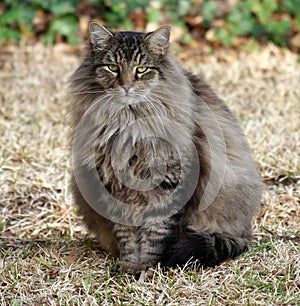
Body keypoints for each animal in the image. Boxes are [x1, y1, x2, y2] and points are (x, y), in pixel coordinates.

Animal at [68, 22, 262, 274]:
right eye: (112, 67)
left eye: (141, 69)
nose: (127, 86)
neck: (129, 122)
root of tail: (245, 232)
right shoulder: (114, 184)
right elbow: (126, 233)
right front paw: (129, 266)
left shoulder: (170, 181)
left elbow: (155, 234)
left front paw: (147, 267)